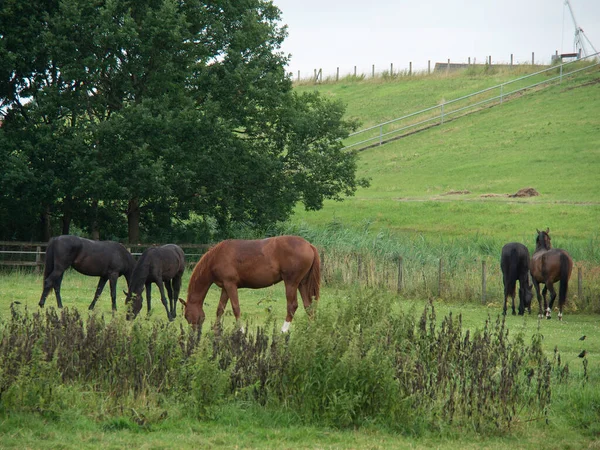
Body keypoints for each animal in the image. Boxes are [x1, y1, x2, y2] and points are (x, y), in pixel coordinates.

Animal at [180, 237, 322, 332]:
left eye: (187, 316)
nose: (193, 333)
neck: (216, 257)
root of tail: (309, 245)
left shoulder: (230, 285)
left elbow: (236, 308)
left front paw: (241, 330)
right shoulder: (225, 287)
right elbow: (220, 309)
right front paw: (216, 330)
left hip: (291, 283)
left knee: (292, 306)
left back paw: (284, 330)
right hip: (302, 283)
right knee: (308, 306)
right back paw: (310, 329)